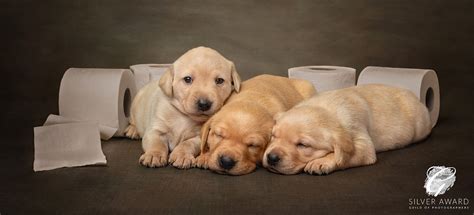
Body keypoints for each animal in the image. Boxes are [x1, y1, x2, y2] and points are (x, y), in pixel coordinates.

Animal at [264, 84, 432, 175]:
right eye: (273, 136)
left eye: (302, 145)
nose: (271, 157)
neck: (326, 108)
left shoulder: (362, 141)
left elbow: (345, 154)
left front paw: (321, 162)